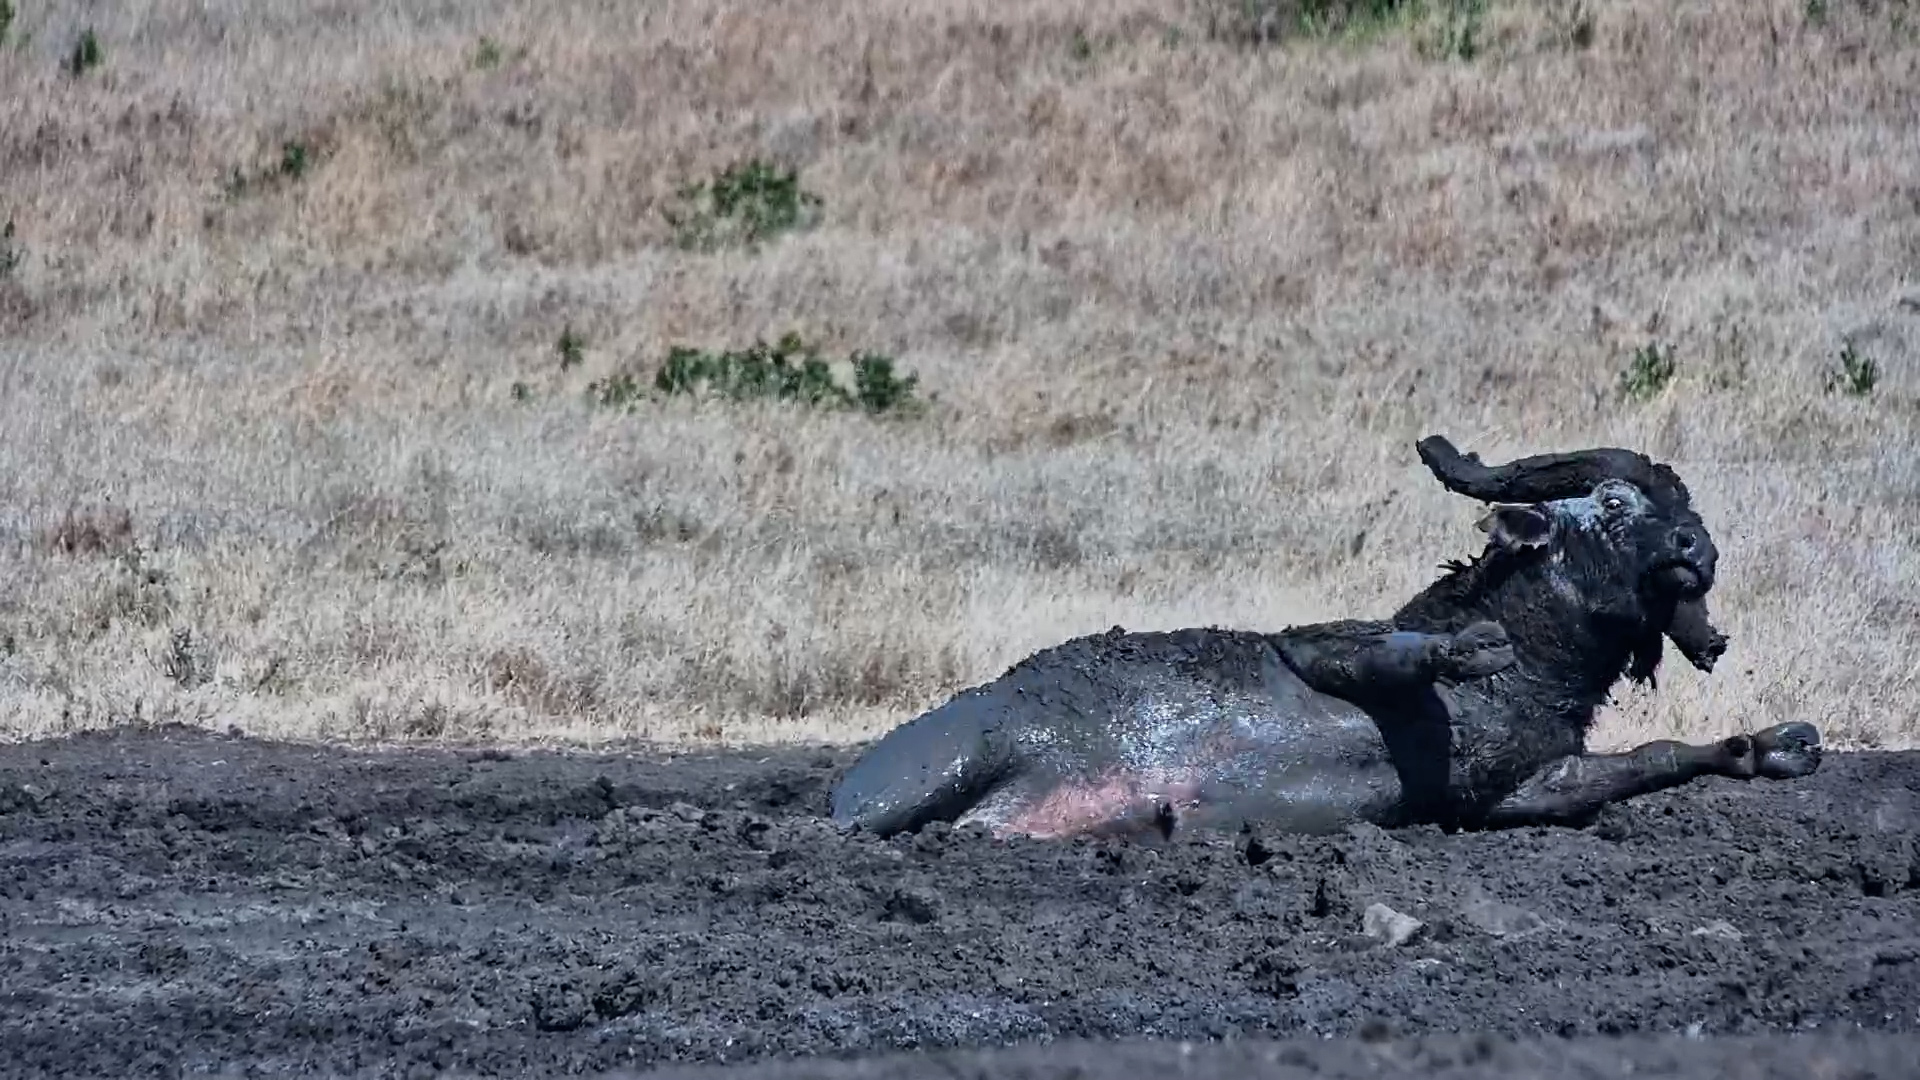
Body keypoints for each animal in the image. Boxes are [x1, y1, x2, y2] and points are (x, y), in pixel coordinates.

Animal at [830, 435, 1820, 841]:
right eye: (1614, 503)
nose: (1697, 548)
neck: (1534, 673)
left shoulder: (1520, 792)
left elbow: (1656, 756)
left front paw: (1773, 746)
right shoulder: (1312, 647)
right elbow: (1374, 652)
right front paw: (1460, 651)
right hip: (941, 763)